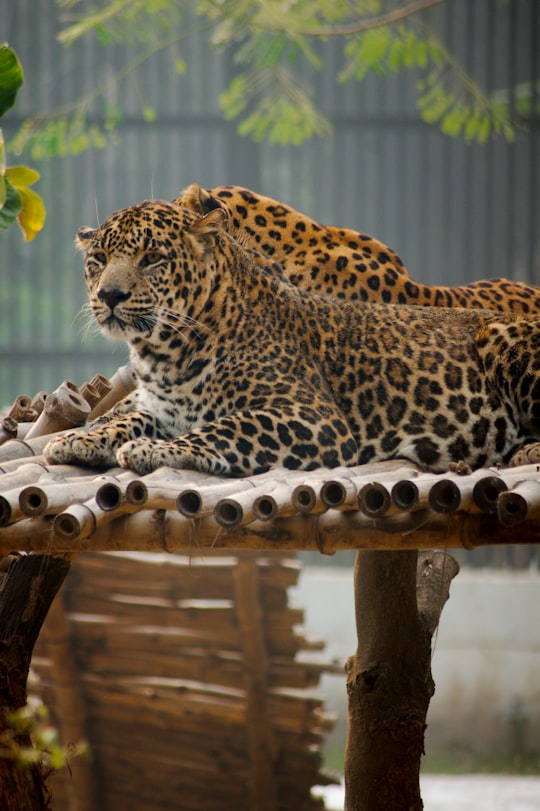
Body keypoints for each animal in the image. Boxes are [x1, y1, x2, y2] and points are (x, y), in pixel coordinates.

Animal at [43, 200, 540, 478]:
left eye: (152, 259)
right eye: (98, 259)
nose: (109, 295)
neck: (163, 353)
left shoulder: (313, 419)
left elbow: (223, 428)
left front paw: (149, 450)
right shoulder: (160, 408)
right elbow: (127, 418)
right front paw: (79, 440)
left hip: (504, 339)